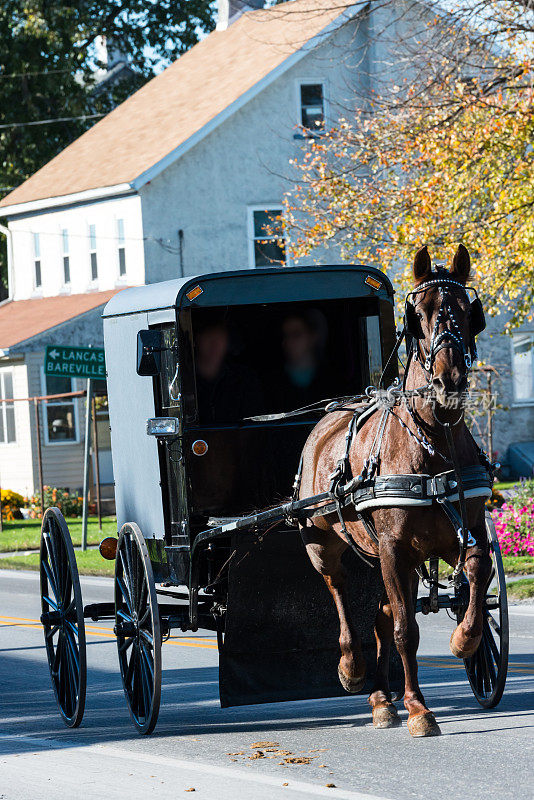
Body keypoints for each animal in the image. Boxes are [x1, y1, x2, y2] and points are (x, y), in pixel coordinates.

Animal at [300, 244, 492, 736]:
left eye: (469, 312)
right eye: (418, 315)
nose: (450, 381)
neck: (432, 442)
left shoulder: (468, 531)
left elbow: (478, 574)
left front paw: (466, 640)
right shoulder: (392, 547)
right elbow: (407, 630)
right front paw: (419, 709)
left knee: (381, 617)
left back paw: (381, 698)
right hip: (326, 542)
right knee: (341, 591)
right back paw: (354, 670)